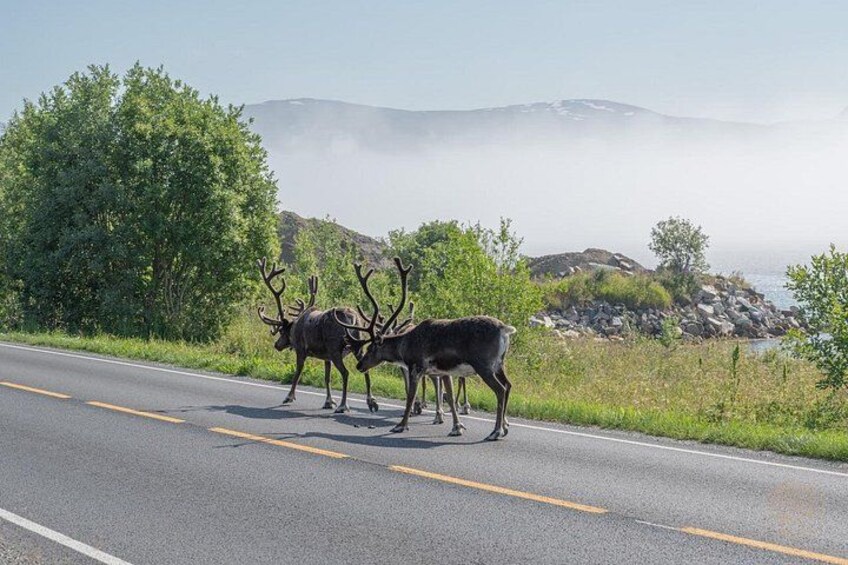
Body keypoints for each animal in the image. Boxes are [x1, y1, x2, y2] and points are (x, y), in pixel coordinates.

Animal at [256, 258, 379, 413]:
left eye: (282, 331)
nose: (276, 345)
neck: (295, 326)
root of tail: (353, 318)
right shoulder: (326, 357)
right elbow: (327, 378)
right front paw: (328, 401)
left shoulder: (301, 350)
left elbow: (297, 373)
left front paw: (289, 397)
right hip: (358, 347)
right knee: (366, 369)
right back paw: (371, 401)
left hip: (336, 350)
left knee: (345, 373)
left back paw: (343, 405)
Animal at [335, 258, 516, 441]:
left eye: (371, 348)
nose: (359, 366)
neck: (404, 345)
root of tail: (504, 329)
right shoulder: (443, 371)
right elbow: (449, 397)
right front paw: (456, 427)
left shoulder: (416, 366)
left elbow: (410, 396)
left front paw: (401, 425)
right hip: (499, 365)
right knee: (508, 385)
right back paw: (504, 427)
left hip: (484, 366)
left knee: (500, 390)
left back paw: (496, 431)